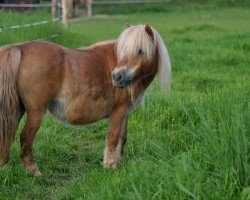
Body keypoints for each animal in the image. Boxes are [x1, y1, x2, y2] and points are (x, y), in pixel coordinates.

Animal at [0, 24, 171, 175]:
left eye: (141, 51)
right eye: (123, 51)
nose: (117, 77)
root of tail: (21, 48)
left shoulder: (125, 113)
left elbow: (123, 137)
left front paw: (119, 162)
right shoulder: (119, 111)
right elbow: (113, 137)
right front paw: (110, 166)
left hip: (17, 110)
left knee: (8, 134)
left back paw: (5, 167)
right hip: (36, 112)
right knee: (25, 138)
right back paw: (33, 171)